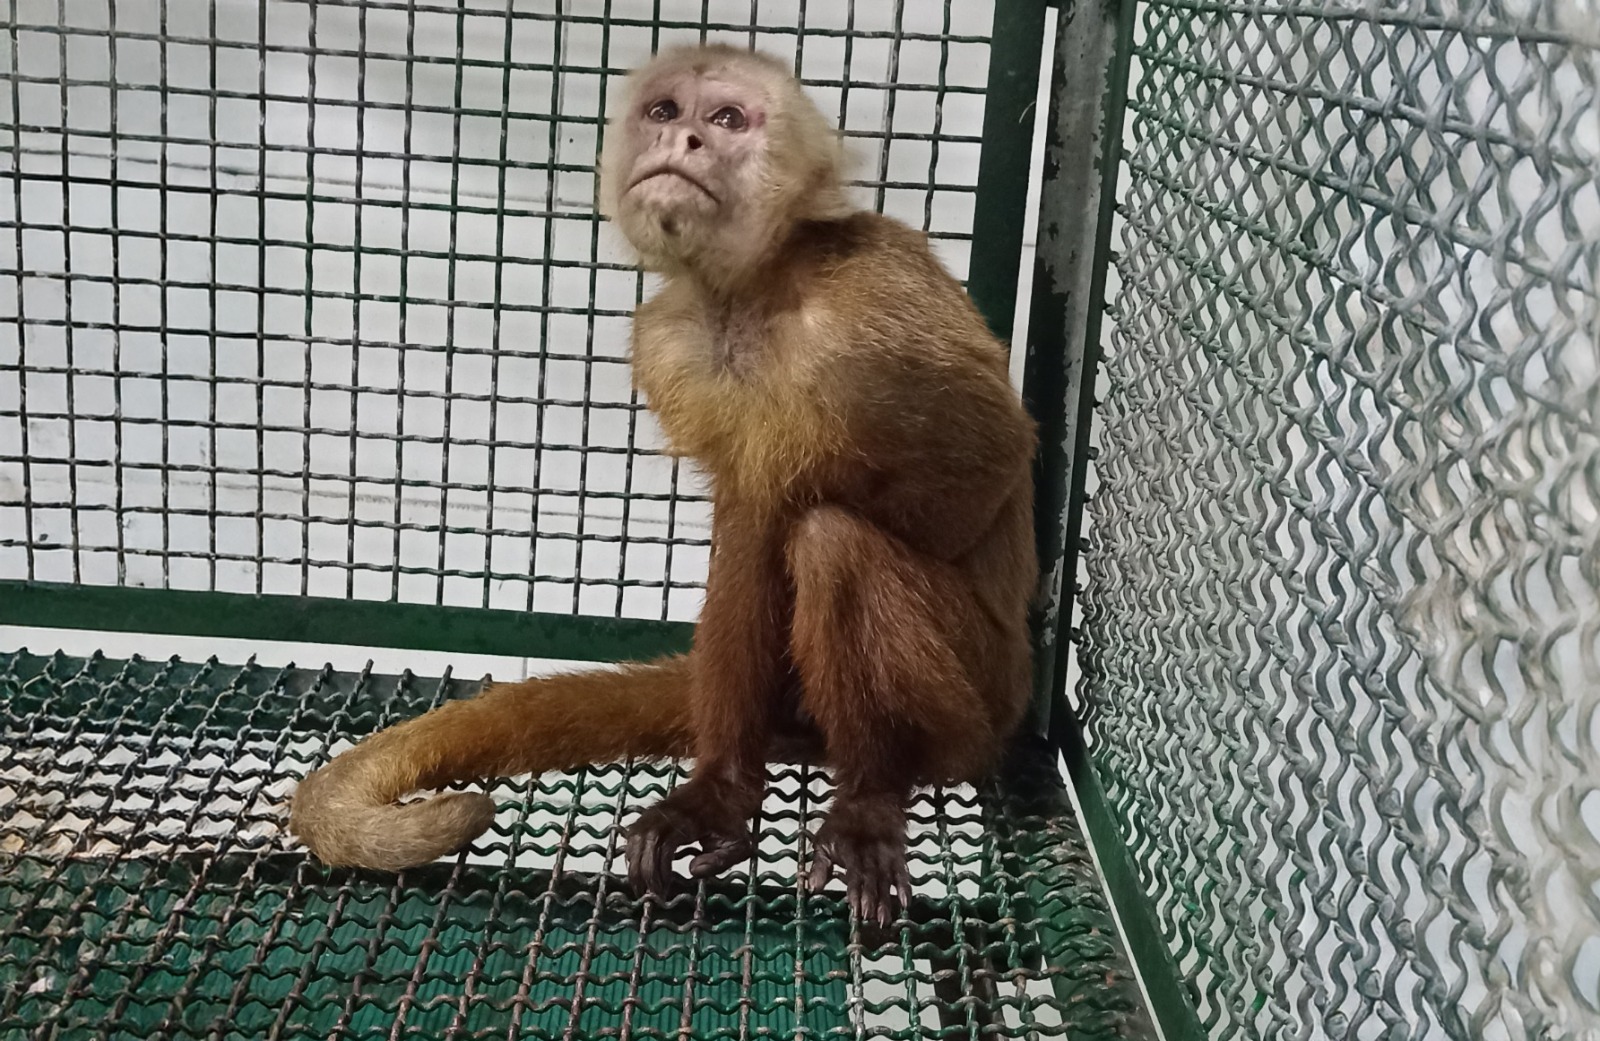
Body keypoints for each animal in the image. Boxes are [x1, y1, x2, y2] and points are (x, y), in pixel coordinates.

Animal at [289, 44, 1037, 926]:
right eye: (664, 111)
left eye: (727, 119)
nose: (684, 142)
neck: (755, 296)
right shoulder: (671, 343)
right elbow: (745, 526)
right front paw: (720, 794)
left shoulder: (875, 297)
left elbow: (984, 466)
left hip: (980, 704)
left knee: (833, 541)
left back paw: (870, 790)